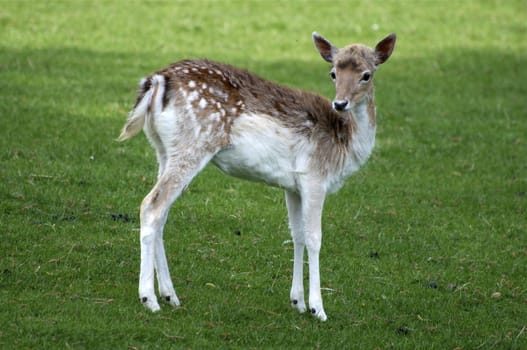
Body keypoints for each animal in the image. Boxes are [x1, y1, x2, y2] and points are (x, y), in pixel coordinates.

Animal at [116, 31, 396, 322]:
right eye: (333, 73)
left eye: (366, 75)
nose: (340, 103)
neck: (346, 144)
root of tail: (156, 82)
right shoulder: (315, 177)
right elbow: (314, 238)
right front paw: (318, 308)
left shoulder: (293, 185)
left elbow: (296, 234)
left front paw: (297, 301)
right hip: (193, 145)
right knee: (151, 205)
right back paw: (149, 298)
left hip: (163, 149)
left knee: (161, 212)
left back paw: (170, 295)